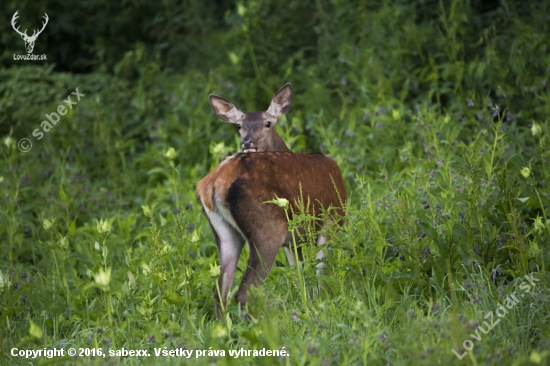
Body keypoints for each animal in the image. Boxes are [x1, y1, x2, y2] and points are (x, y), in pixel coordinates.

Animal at [197, 152, 344, 318]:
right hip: (269, 232)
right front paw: (320, 304)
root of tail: (213, 183)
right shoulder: (330, 223)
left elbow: (299, 275)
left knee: (220, 292)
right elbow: (321, 272)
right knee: (244, 292)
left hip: (226, 235)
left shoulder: (291, 243)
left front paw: (307, 303)